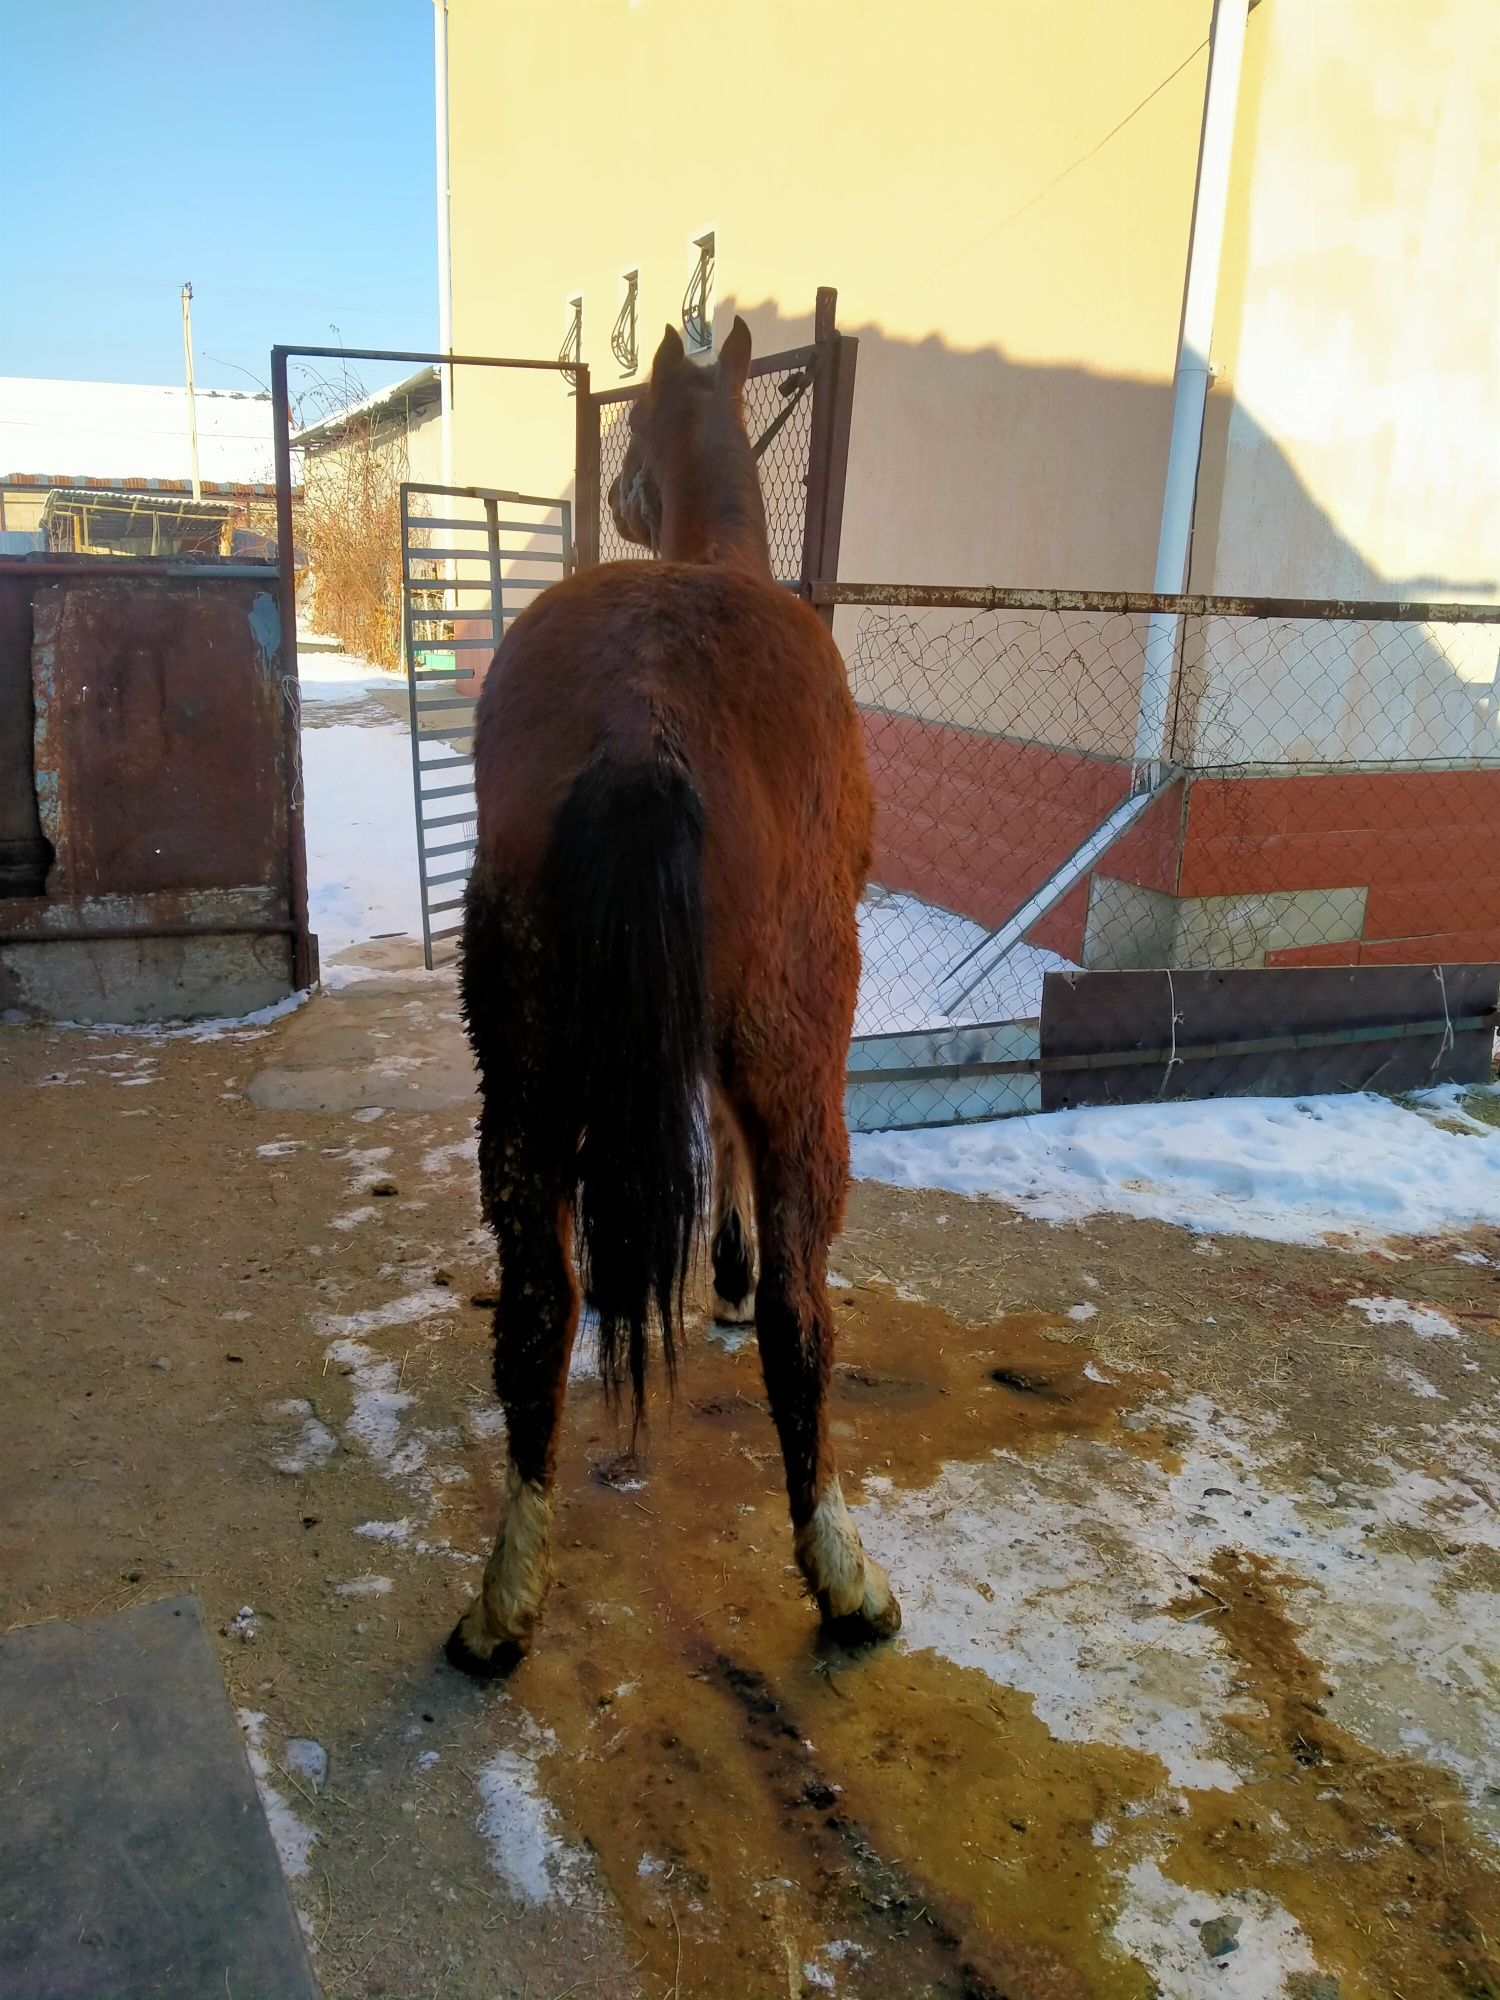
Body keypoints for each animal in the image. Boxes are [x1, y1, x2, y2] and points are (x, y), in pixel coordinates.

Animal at [440, 320, 900, 1680]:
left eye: (635, 428)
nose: (621, 494)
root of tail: (642, 724)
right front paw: (732, 1271)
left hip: (524, 1065)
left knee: (536, 1304)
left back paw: (504, 1597)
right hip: (800, 1051)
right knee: (805, 1315)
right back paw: (843, 1576)